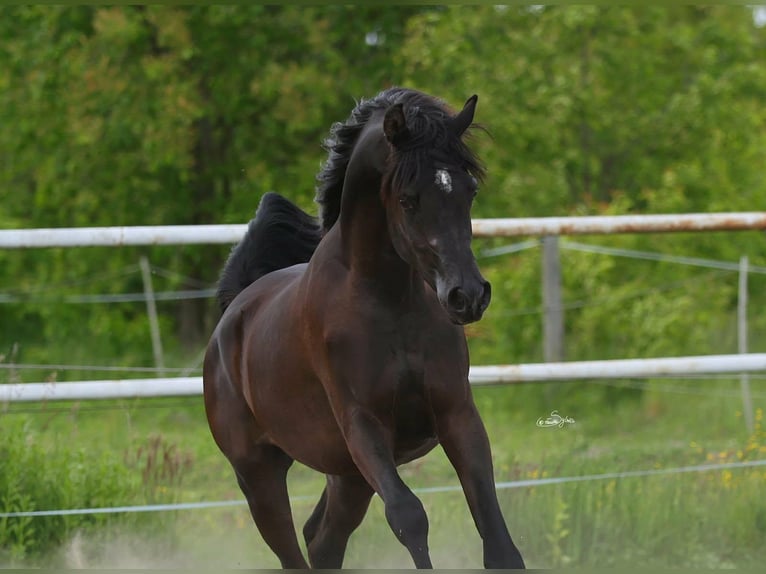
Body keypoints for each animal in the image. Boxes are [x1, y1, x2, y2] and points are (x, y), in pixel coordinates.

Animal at [203, 87, 525, 569]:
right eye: (408, 198)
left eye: (469, 190)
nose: (467, 295)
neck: (388, 302)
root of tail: (232, 315)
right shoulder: (363, 424)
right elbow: (408, 516)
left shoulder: (457, 413)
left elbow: (496, 533)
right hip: (259, 474)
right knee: (294, 548)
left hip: (347, 475)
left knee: (321, 538)